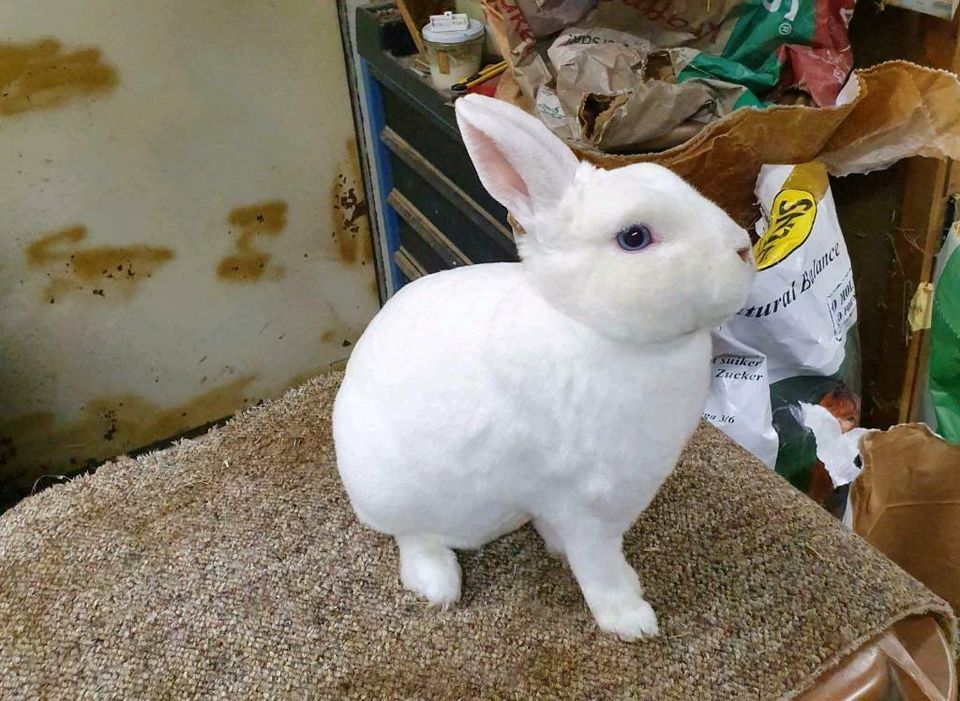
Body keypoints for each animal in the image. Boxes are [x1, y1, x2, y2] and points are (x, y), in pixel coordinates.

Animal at [334, 94, 752, 640]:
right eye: (634, 237)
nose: (744, 246)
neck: (590, 326)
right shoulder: (586, 506)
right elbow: (598, 567)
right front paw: (632, 620)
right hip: (399, 495)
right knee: (413, 537)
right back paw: (438, 586)